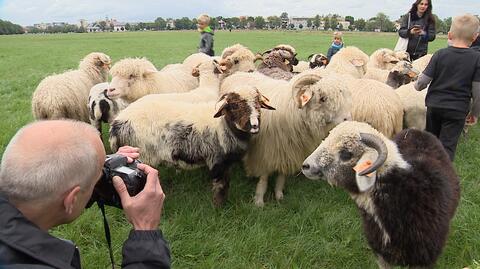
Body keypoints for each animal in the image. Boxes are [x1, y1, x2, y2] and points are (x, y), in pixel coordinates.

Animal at [221, 71, 352, 205]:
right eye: (322, 98)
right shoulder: (265, 151)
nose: (347, 119)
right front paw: (259, 200)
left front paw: (279, 195)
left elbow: (281, 175)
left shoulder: (287, 150)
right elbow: (264, 176)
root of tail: (237, 73)